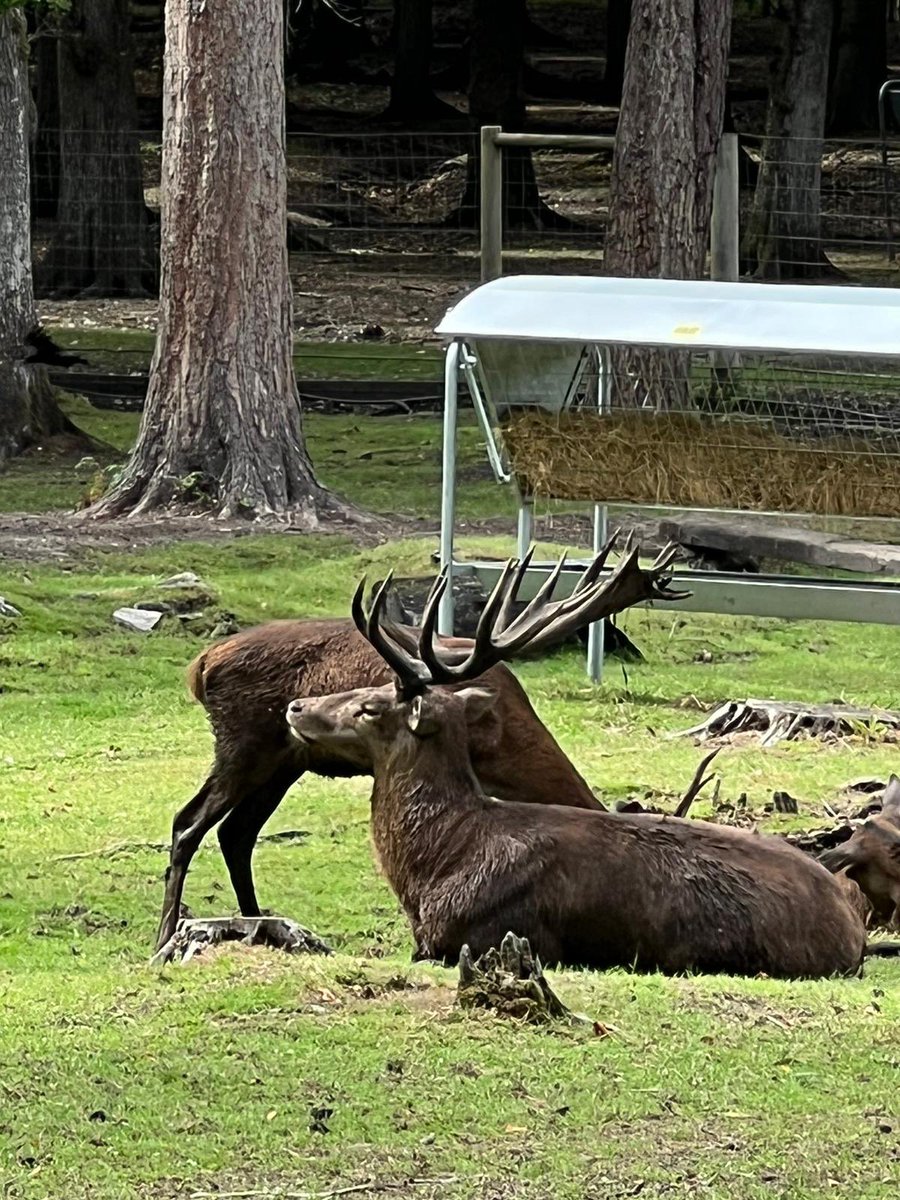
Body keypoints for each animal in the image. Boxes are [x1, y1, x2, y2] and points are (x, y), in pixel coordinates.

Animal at [156, 538, 685, 951]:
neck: (504, 738)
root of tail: (200, 666)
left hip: (286, 761)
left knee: (236, 833)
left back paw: (258, 922)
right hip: (243, 743)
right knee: (188, 823)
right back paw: (165, 935)